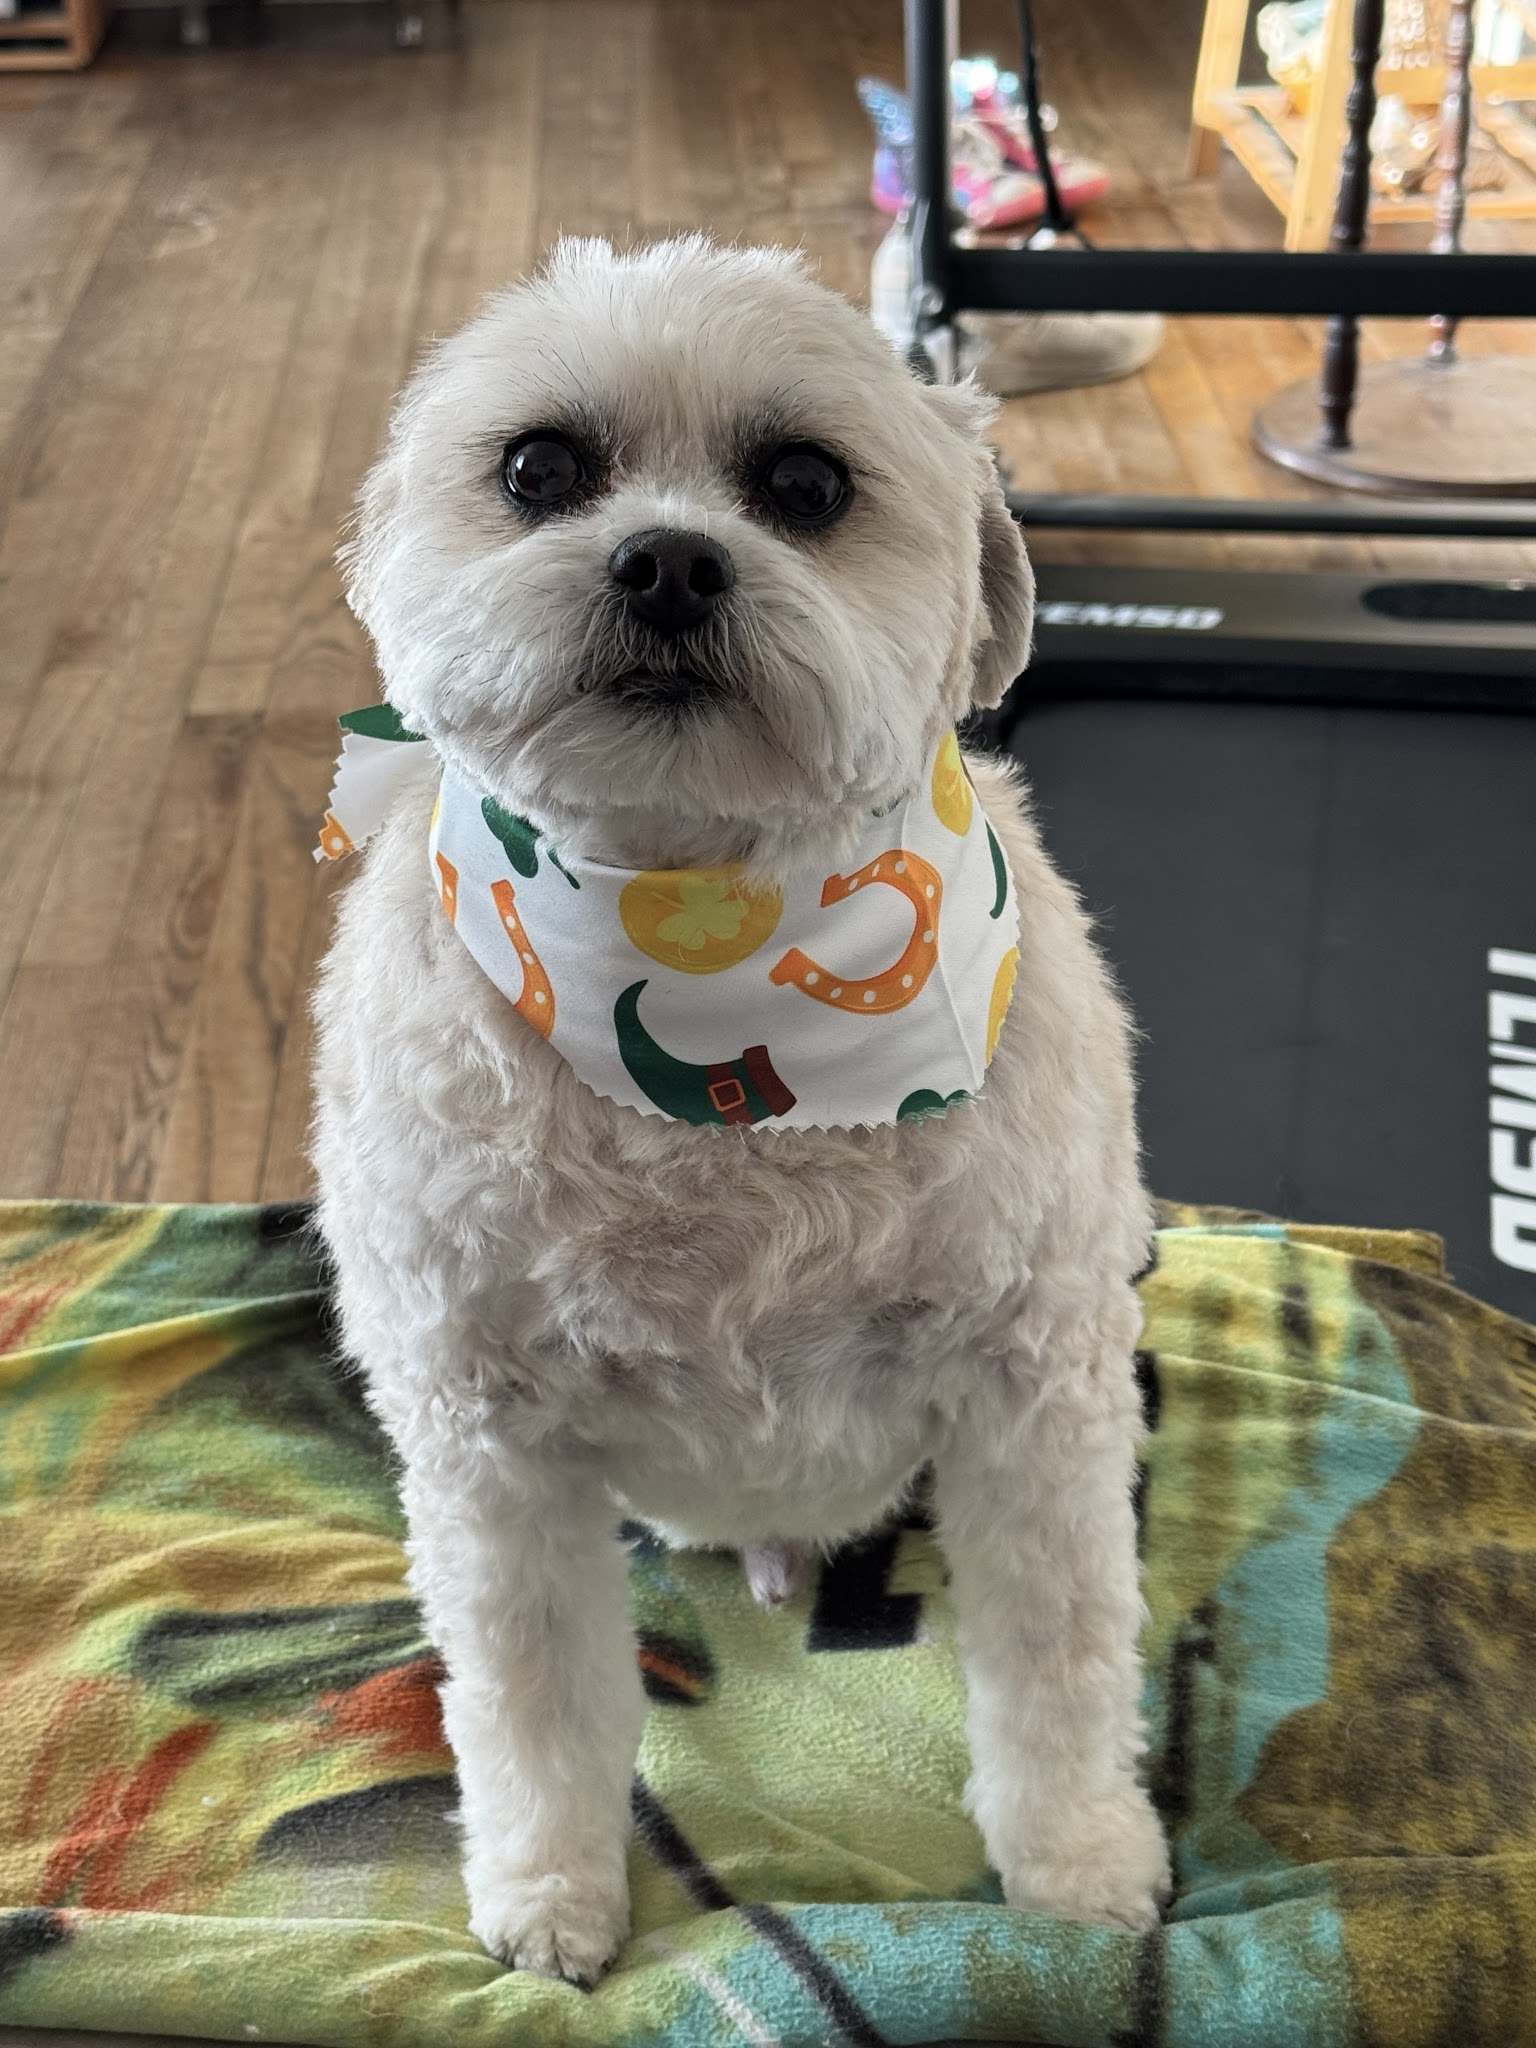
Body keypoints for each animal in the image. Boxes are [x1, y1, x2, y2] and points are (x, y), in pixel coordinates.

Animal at [312, 235, 1170, 1985]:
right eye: (538, 470)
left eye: (804, 485)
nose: (666, 564)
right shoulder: (490, 1442)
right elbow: (534, 1692)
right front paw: (554, 1891)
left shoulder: (1033, 1394)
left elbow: (1059, 1655)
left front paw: (1077, 1867)